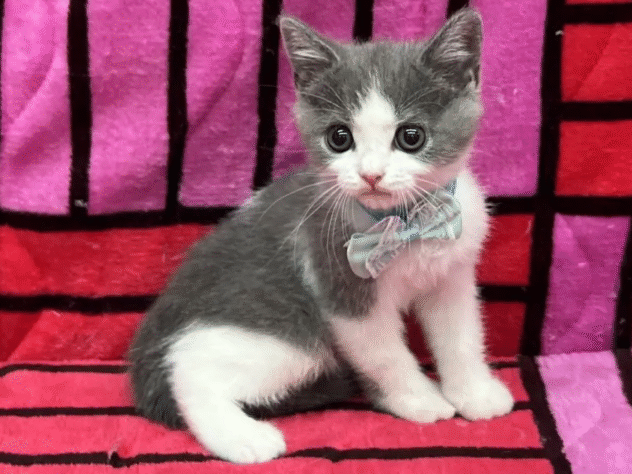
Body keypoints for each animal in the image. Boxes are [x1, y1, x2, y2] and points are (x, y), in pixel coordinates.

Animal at [129, 8, 514, 465]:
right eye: (339, 137)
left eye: (411, 136)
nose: (371, 174)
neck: (408, 223)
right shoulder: (337, 281)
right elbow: (384, 352)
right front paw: (419, 401)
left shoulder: (452, 273)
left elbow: (461, 334)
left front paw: (475, 393)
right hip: (284, 339)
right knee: (191, 371)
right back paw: (245, 437)